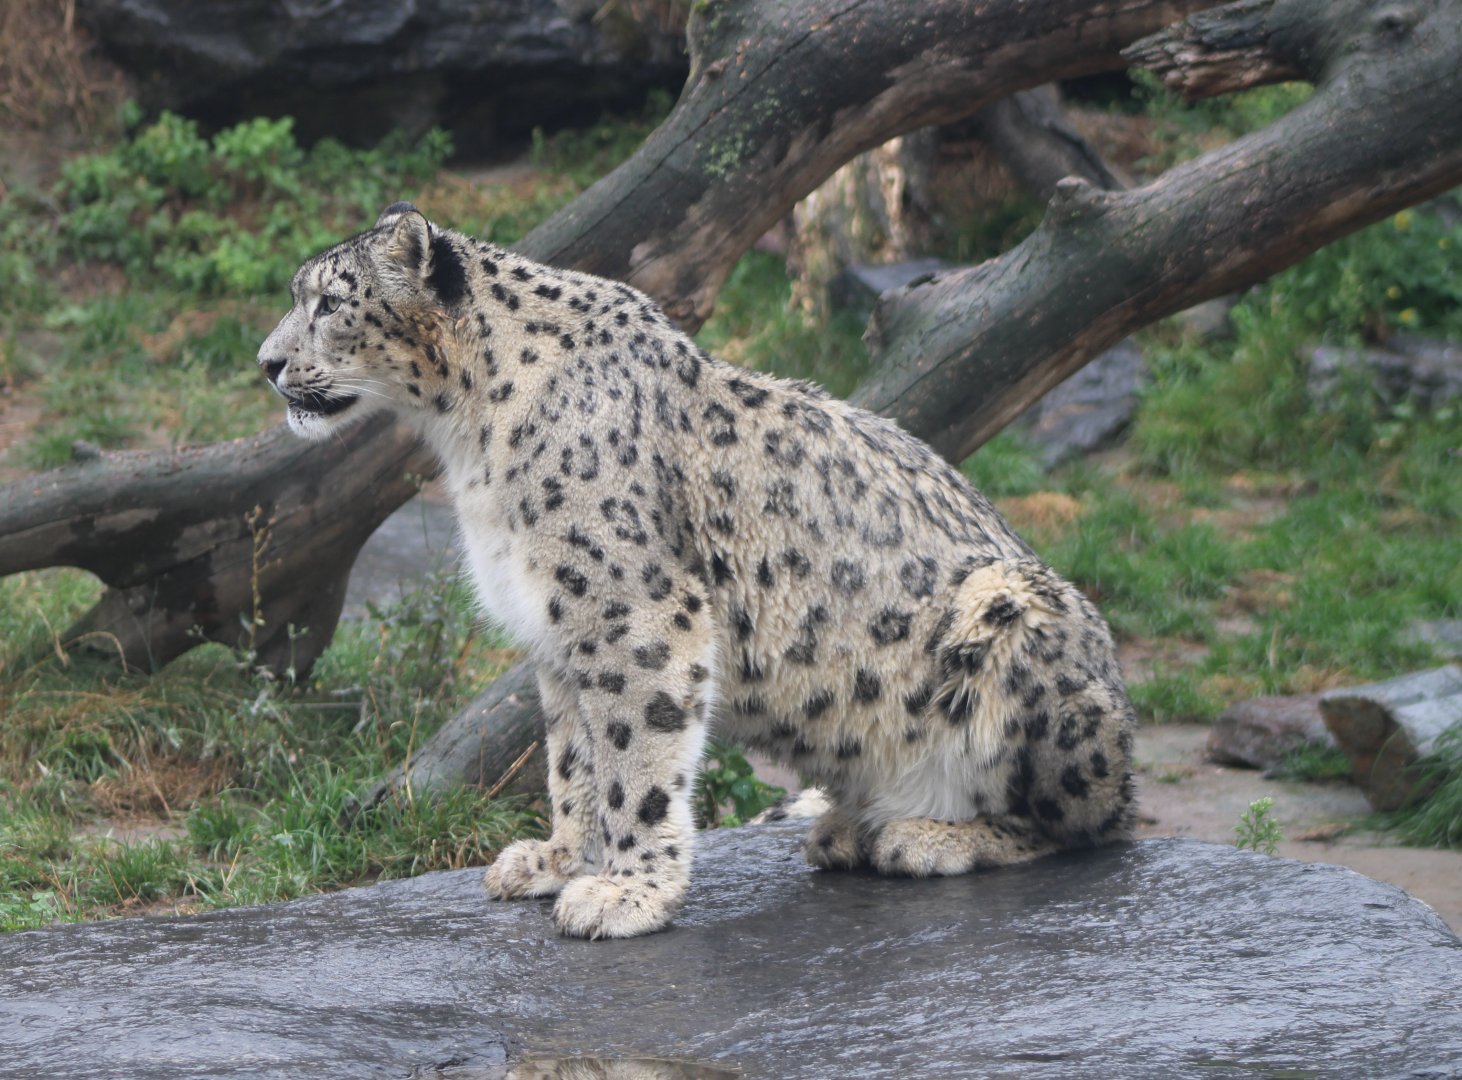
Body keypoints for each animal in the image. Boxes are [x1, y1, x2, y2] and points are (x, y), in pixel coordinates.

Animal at [258, 202, 1137, 939]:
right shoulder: (555, 632)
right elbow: (572, 758)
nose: (267, 362)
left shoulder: (630, 612)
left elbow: (633, 756)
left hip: (1016, 617)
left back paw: (923, 836)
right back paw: (850, 828)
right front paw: (558, 859)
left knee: (1088, 823)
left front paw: (628, 892)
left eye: (328, 303)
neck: (467, 445)